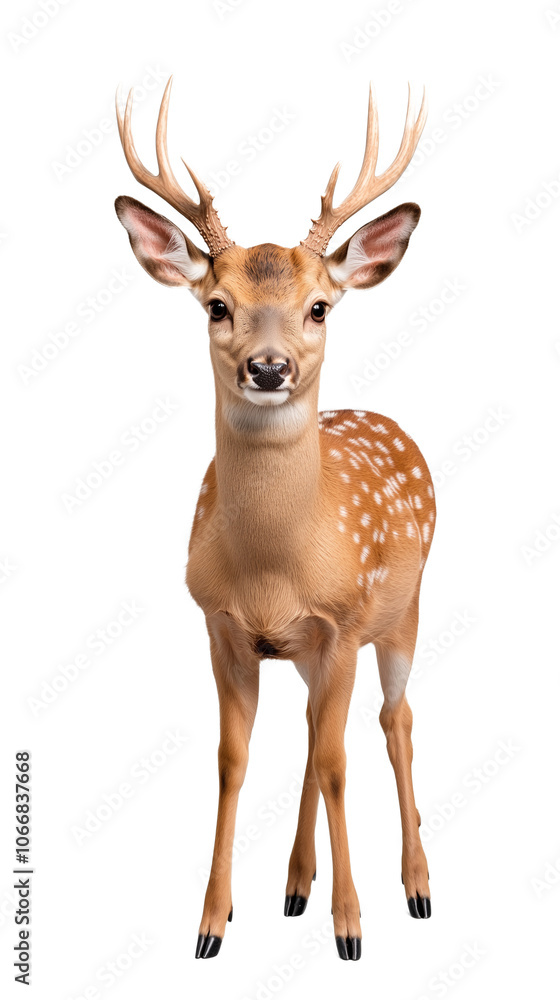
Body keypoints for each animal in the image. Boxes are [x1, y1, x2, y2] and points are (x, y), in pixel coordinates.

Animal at [114, 77, 435, 962]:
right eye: (217, 306)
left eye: (320, 307)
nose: (268, 367)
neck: (273, 568)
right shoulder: (222, 625)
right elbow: (235, 760)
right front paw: (212, 922)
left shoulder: (344, 624)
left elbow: (338, 763)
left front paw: (352, 928)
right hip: (308, 652)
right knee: (313, 731)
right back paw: (295, 885)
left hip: (403, 612)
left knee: (393, 721)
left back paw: (417, 883)